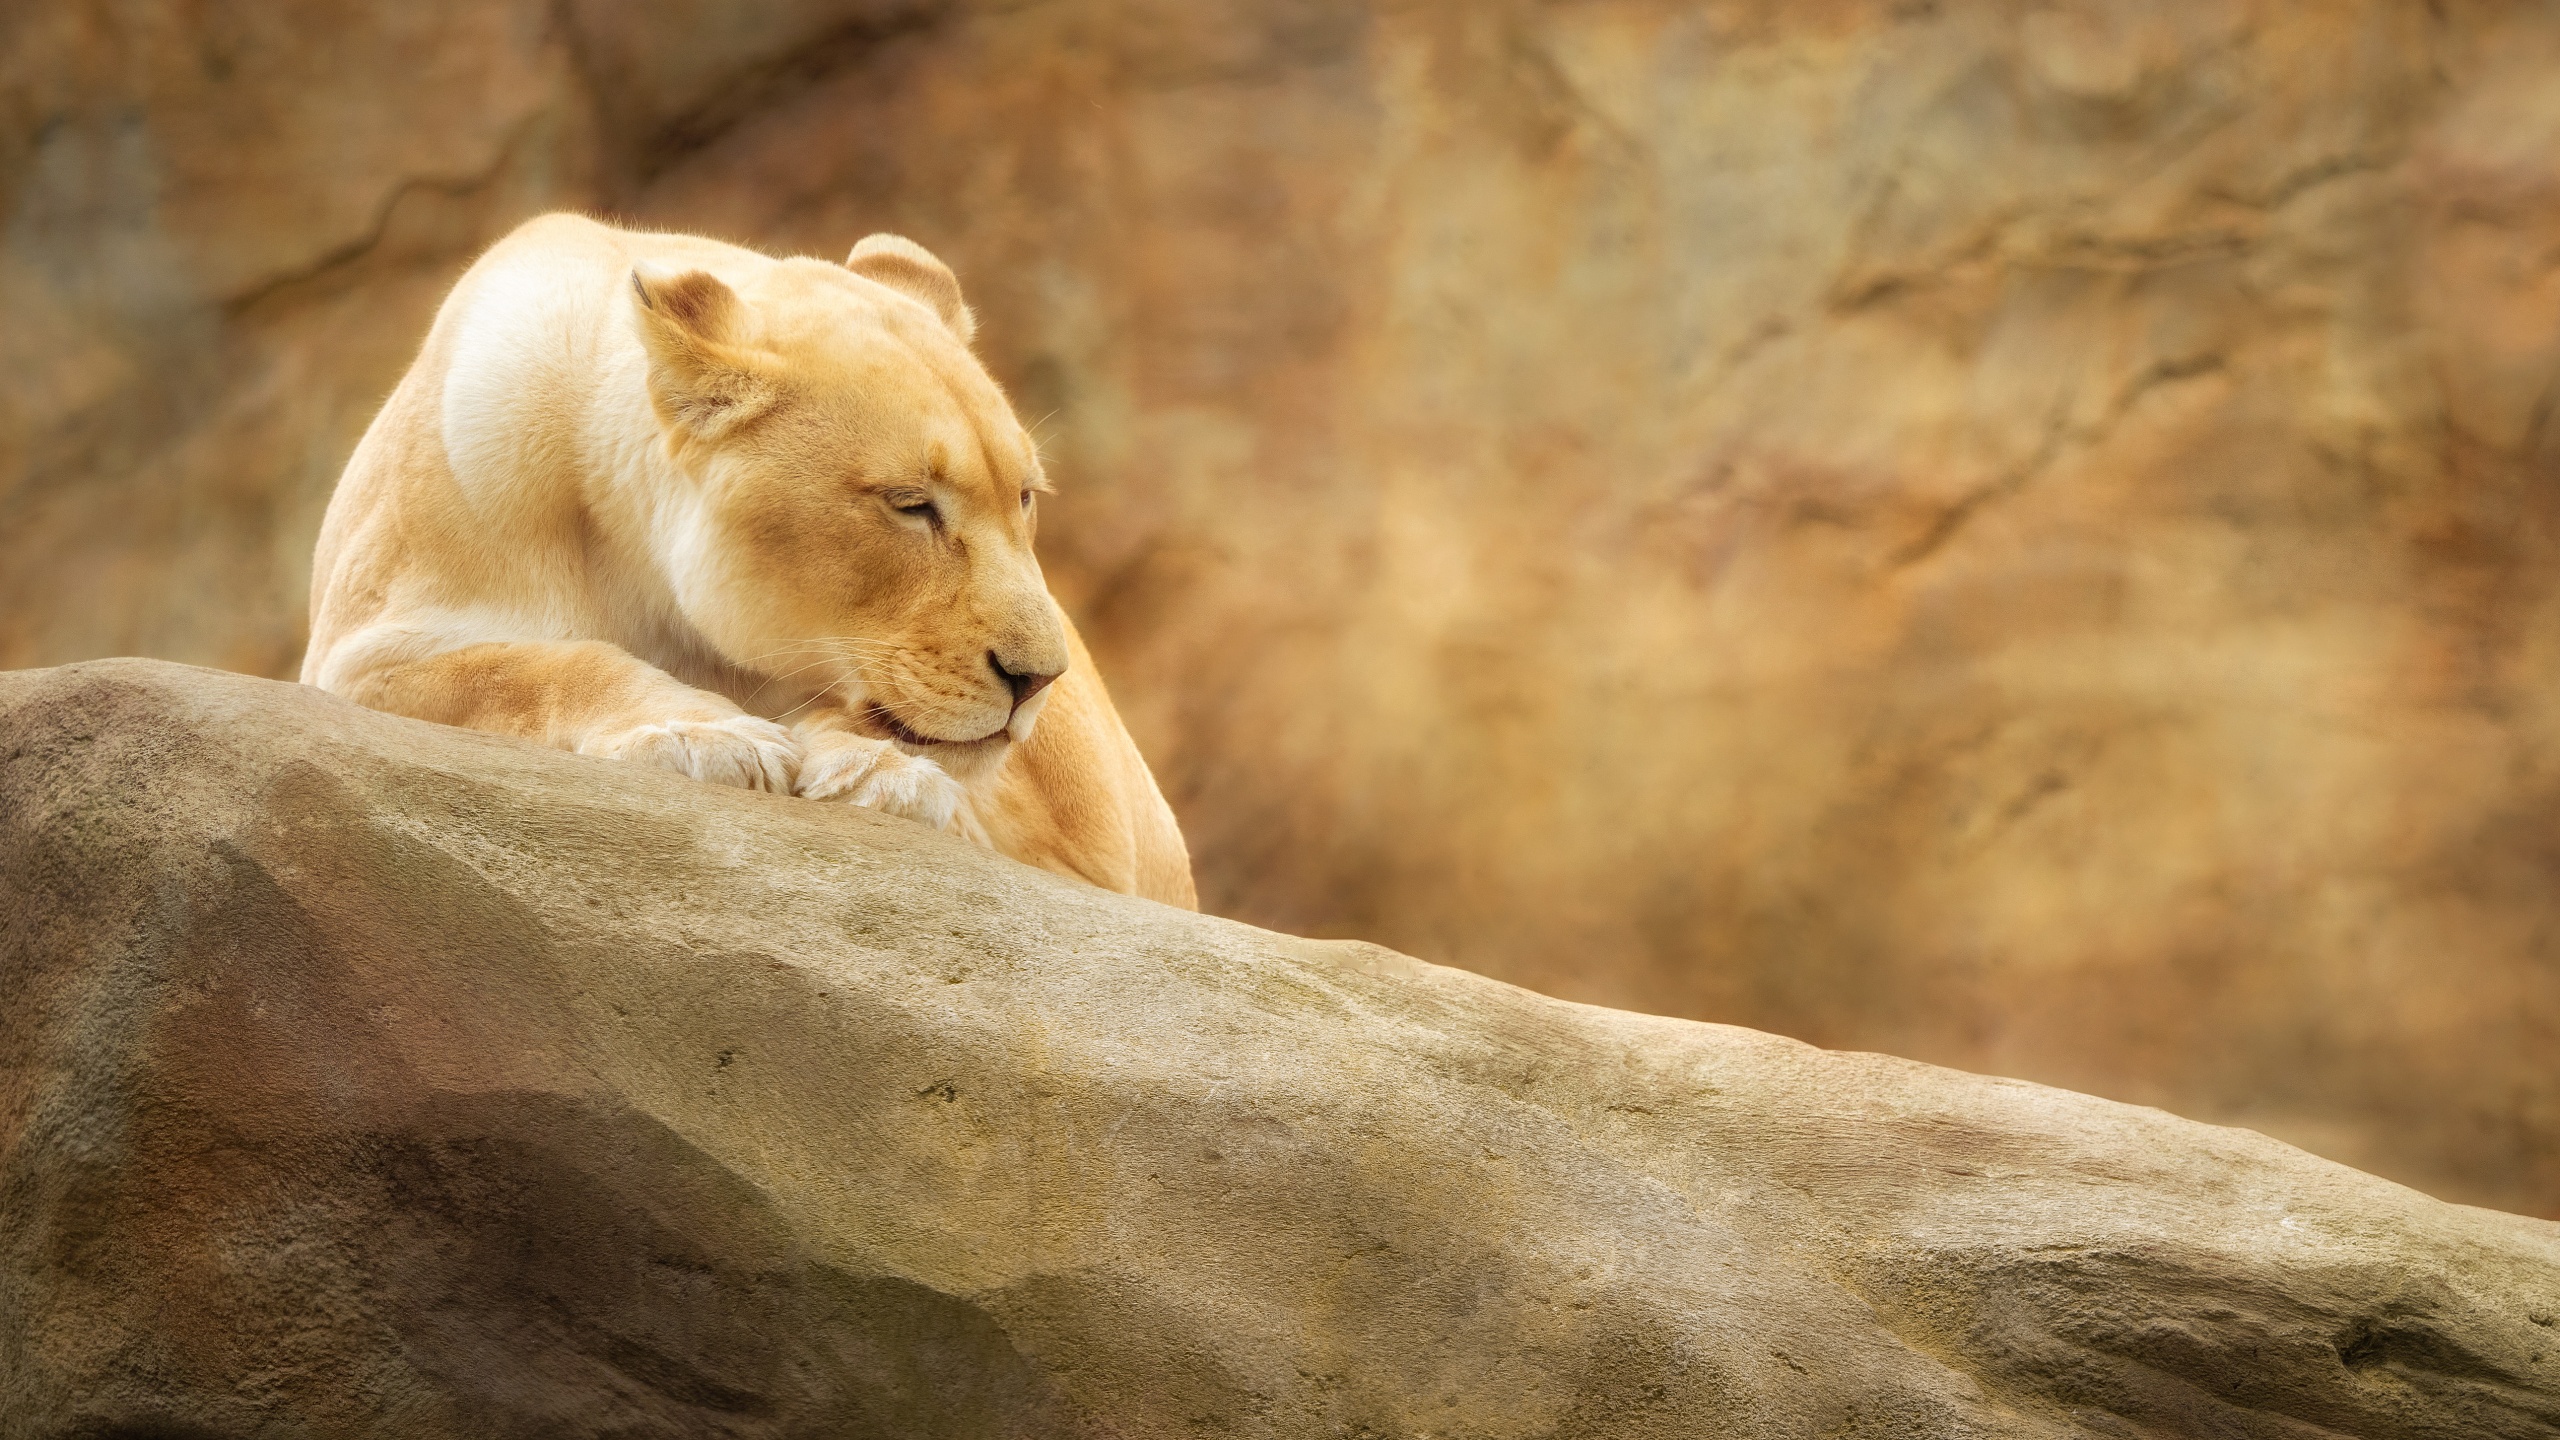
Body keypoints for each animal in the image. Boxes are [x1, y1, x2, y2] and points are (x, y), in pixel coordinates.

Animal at [300, 213, 1195, 907]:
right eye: (910, 503)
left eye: (1026, 498)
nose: (1039, 679)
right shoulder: (361, 651)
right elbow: (531, 667)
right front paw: (707, 732)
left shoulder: (1097, 844)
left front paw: (874, 770)